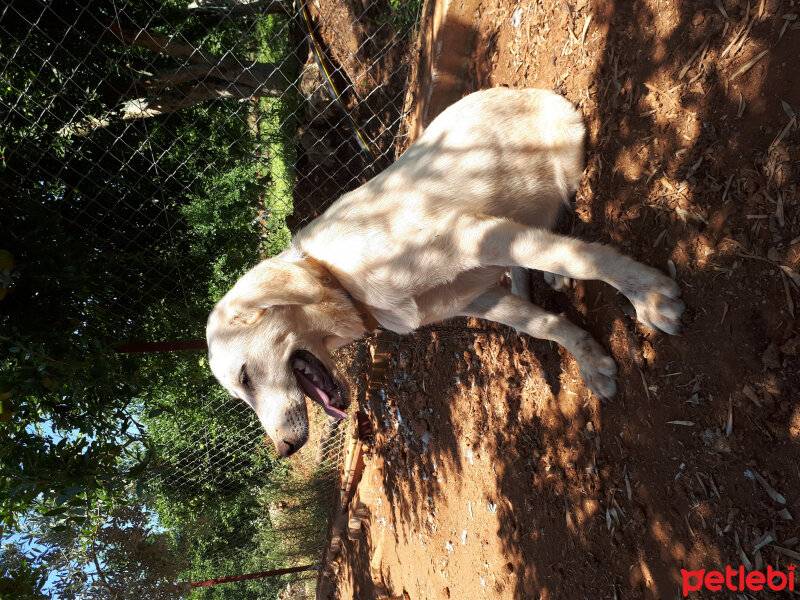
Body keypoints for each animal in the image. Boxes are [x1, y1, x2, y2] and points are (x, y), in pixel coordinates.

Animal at [205, 88, 680, 454]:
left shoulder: (477, 236)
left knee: (558, 225)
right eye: (239, 393)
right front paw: (589, 358)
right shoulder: (476, 297)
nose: (284, 450)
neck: (340, 278)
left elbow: (578, 257)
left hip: (561, 168)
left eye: (245, 377)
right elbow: (541, 324)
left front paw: (647, 295)